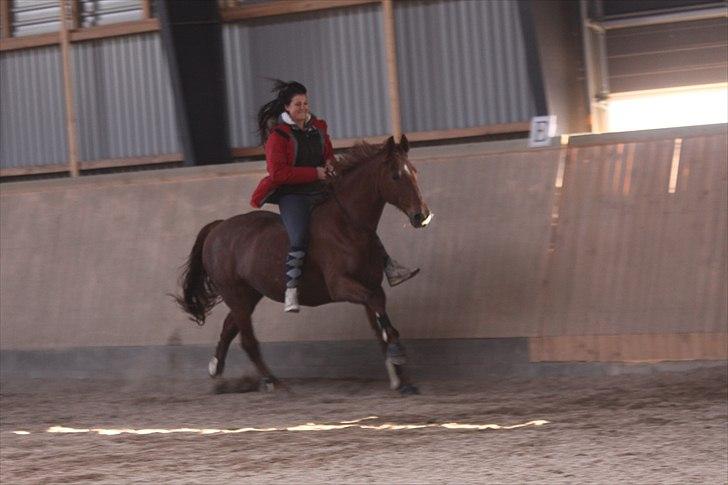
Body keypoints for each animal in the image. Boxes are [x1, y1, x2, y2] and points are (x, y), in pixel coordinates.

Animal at [175, 134, 432, 392]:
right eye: (396, 175)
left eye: (415, 172)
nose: (421, 216)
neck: (347, 224)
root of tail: (217, 228)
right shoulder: (341, 286)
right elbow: (378, 310)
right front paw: (397, 356)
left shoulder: (370, 284)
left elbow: (378, 320)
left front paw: (400, 378)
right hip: (235, 293)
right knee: (247, 339)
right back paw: (272, 382)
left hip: (248, 295)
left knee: (230, 325)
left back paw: (216, 367)